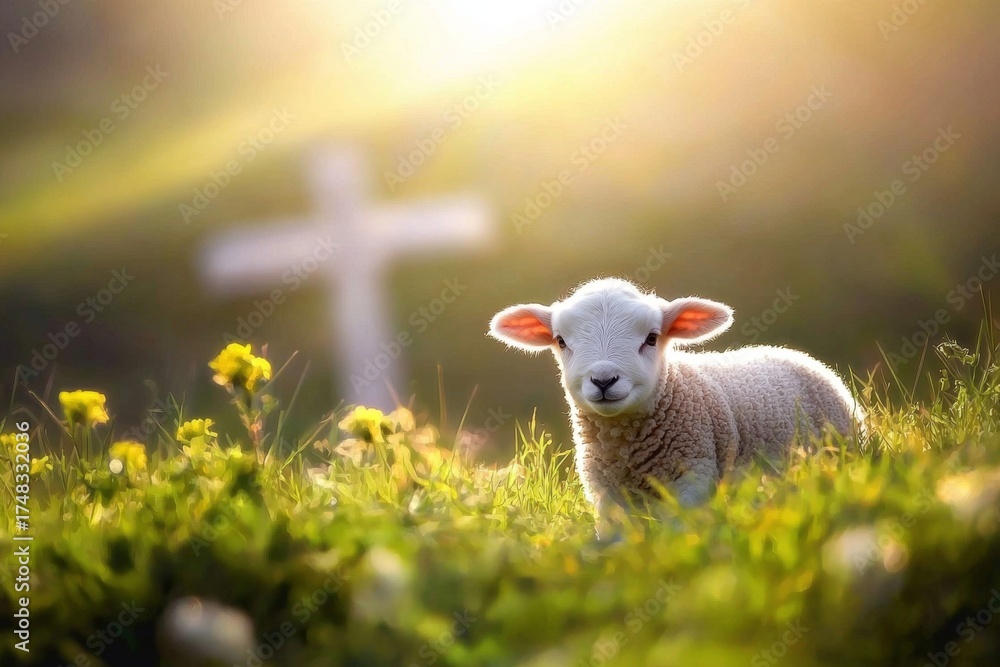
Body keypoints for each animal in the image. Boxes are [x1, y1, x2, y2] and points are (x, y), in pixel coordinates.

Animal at [488, 277, 861, 533]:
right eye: (561, 341)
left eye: (652, 338)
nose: (604, 380)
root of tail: (795, 355)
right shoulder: (607, 494)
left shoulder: (694, 475)